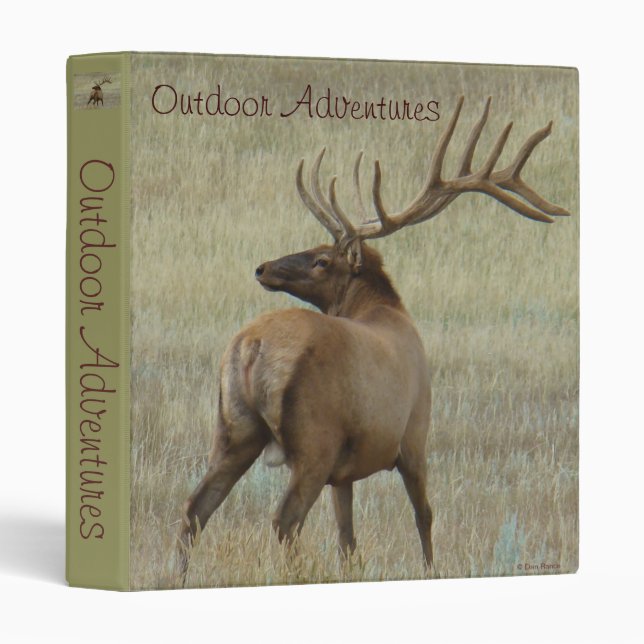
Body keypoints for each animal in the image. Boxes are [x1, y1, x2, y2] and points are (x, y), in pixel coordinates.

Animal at [177, 96, 569, 583]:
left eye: (322, 258)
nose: (263, 268)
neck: (388, 310)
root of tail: (251, 347)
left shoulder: (344, 472)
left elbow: (348, 539)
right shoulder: (415, 432)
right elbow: (424, 514)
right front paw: (430, 568)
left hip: (234, 427)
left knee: (195, 509)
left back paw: (178, 576)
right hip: (314, 439)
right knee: (285, 519)